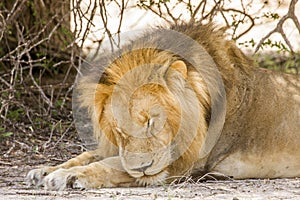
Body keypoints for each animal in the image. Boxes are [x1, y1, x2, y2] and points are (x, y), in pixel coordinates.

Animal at [26, 22, 300, 190]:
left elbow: (110, 165)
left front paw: (66, 176)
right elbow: (90, 155)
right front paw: (45, 170)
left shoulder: (181, 164)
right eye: (119, 131)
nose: (143, 168)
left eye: (151, 122)